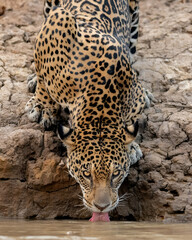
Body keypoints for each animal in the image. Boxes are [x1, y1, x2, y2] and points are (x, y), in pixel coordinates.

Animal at [25, 0, 152, 214]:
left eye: (116, 173)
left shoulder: (135, 95)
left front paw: (132, 145)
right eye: (86, 174)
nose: (102, 207)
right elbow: (43, 75)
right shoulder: (55, 24)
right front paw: (42, 105)